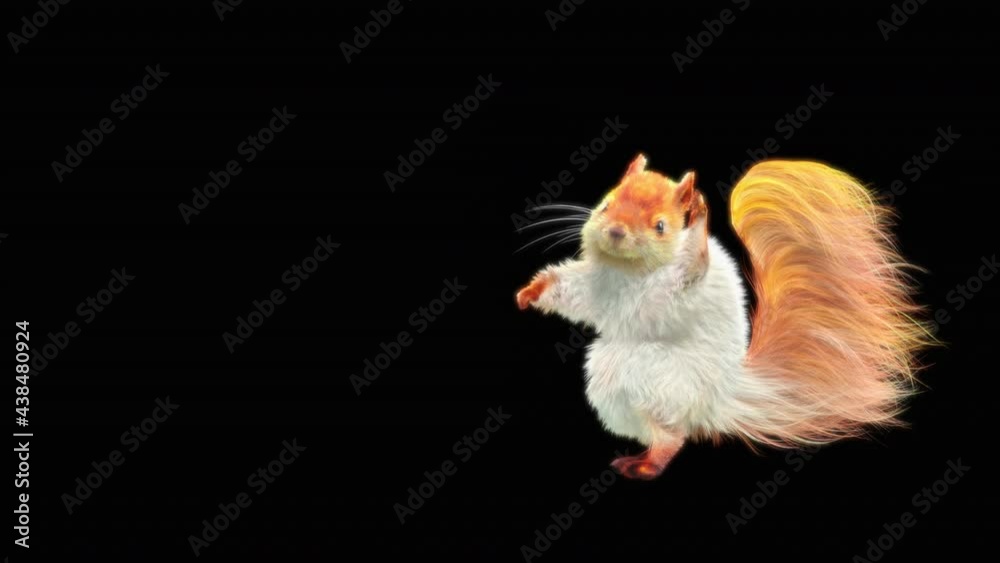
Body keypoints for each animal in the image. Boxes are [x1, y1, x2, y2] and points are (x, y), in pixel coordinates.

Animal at [516, 154, 933, 480]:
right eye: (606, 204)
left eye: (661, 226)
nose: (616, 231)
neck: (627, 271)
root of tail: (718, 399)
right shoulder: (596, 285)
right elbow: (573, 291)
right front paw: (530, 292)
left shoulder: (678, 289)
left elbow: (688, 273)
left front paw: (699, 223)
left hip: (648, 382)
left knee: (672, 437)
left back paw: (648, 464)